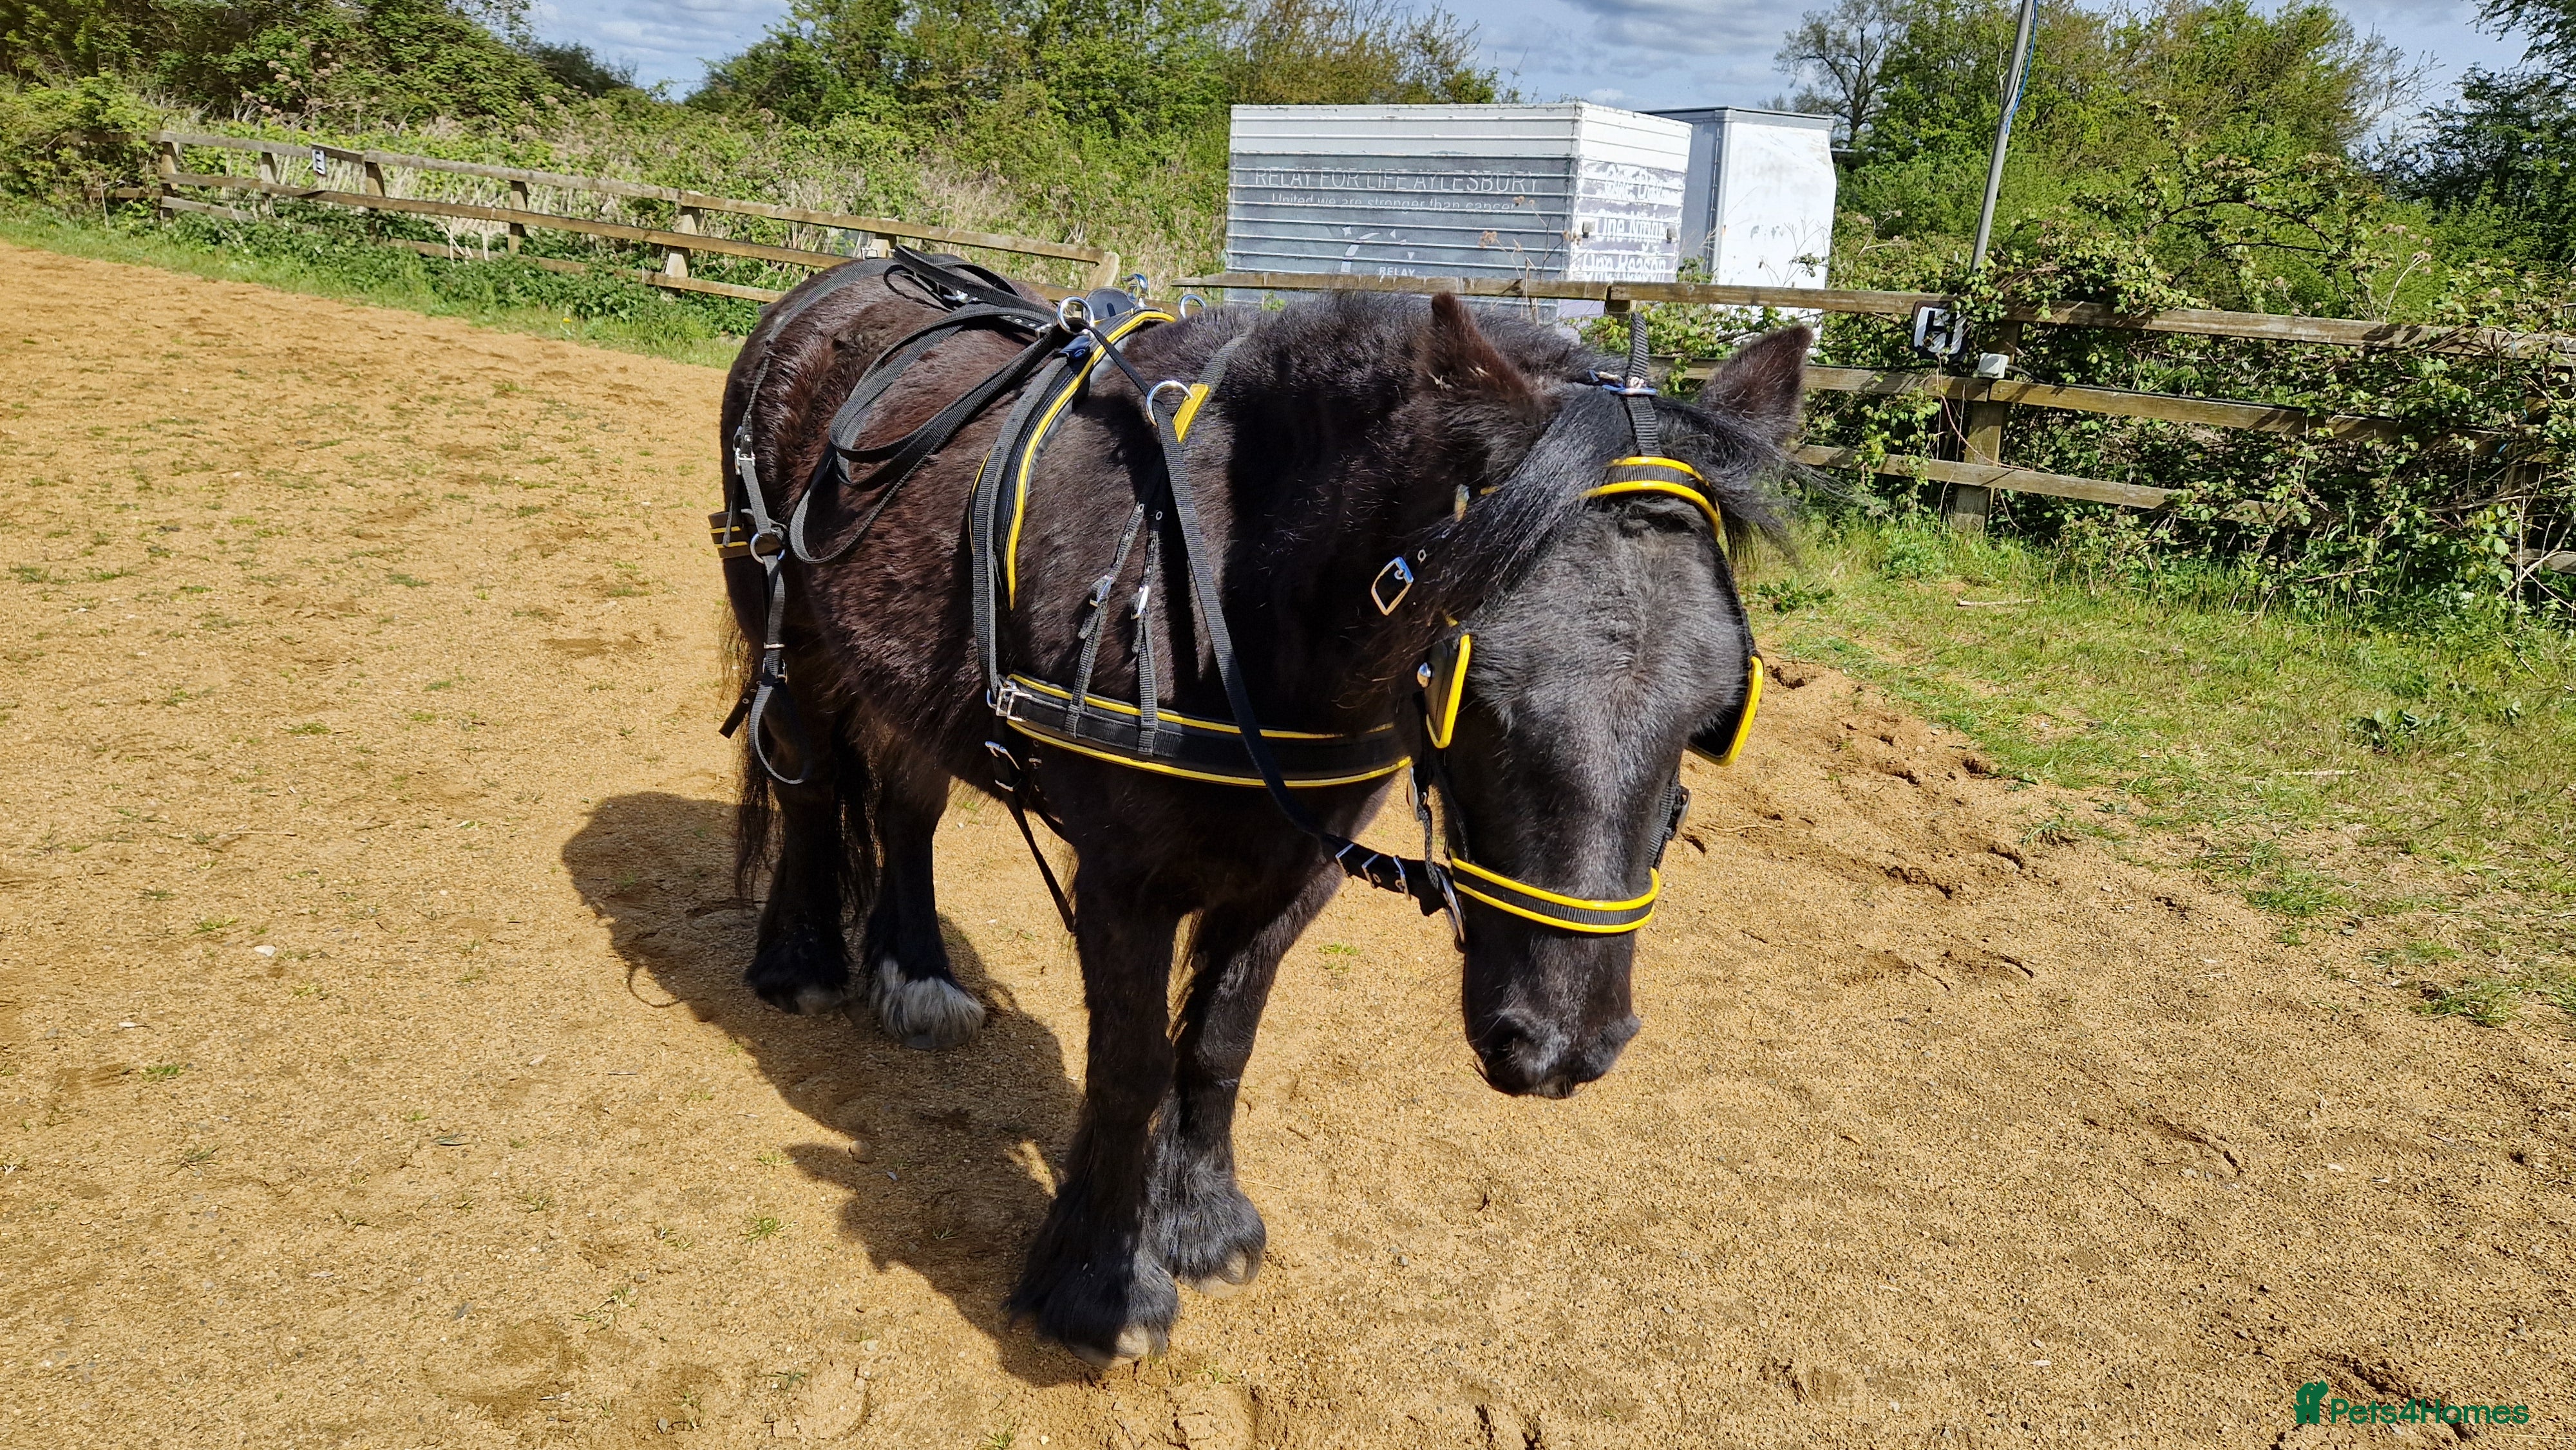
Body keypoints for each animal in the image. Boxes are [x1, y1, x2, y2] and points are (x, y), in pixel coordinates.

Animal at [716, 259, 1808, 1367]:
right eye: (1473, 687)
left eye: (1714, 713)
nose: (1563, 1048)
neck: (1231, 593)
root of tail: (842, 283)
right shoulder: (1125, 880)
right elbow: (1130, 1067)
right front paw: (1100, 1285)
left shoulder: (1298, 872)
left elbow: (1218, 1042)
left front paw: (1201, 1224)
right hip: (789, 634)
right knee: (811, 791)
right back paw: (801, 963)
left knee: (907, 805)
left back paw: (918, 974)